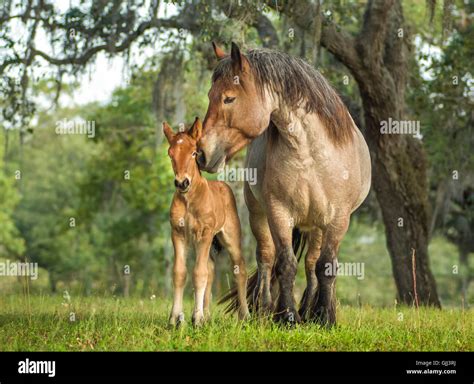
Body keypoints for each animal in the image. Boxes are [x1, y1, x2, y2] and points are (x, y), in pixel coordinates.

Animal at [163, 118, 250, 328]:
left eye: (194, 152)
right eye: (170, 154)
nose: (182, 183)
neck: (189, 201)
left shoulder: (205, 234)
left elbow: (199, 273)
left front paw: (197, 319)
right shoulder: (178, 234)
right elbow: (180, 273)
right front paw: (175, 319)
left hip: (229, 237)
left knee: (239, 269)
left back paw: (244, 315)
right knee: (211, 270)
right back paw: (208, 314)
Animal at [196, 42, 370, 326]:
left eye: (229, 98)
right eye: (211, 95)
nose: (201, 154)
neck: (311, 155)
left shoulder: (338, 219)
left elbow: (326, 266)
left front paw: (324, 317)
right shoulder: (279, 213)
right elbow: (285, 263)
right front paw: (288, 315)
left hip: (316, 226)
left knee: (311, 263)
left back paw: (310, 311)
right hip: (258, 214)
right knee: (266, 257)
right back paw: (265, 309)